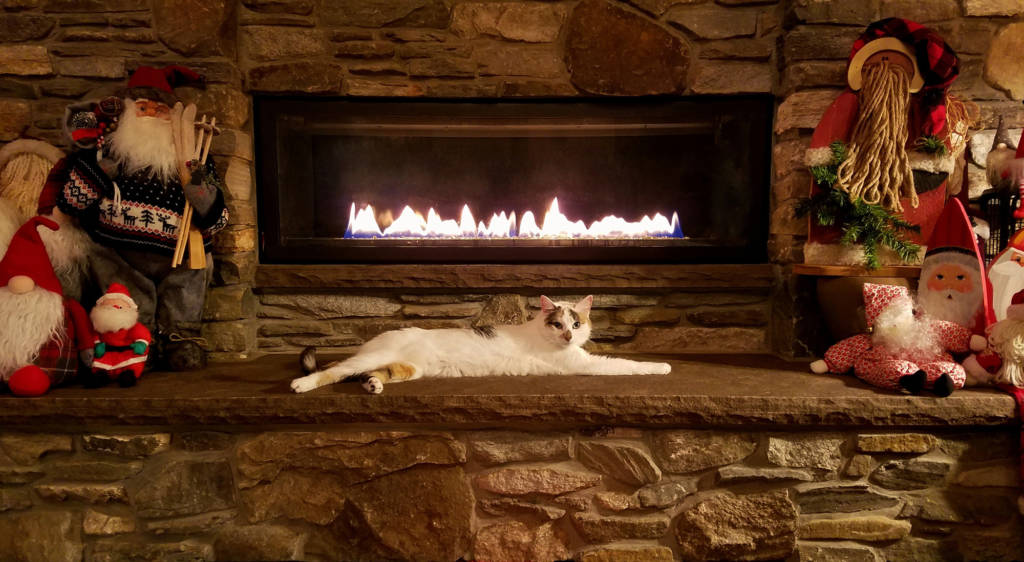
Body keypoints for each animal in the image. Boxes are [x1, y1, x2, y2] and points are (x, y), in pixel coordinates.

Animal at [290, 292, 671, 395]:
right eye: (558, 324)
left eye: (576, 325)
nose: (568, 335)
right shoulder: (585, 364)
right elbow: (626, 364)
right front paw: (664, 365)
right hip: (374, 356)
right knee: (333, 371)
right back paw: (302, 384)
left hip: (409, 369)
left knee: (372, 374)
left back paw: (372, 385)